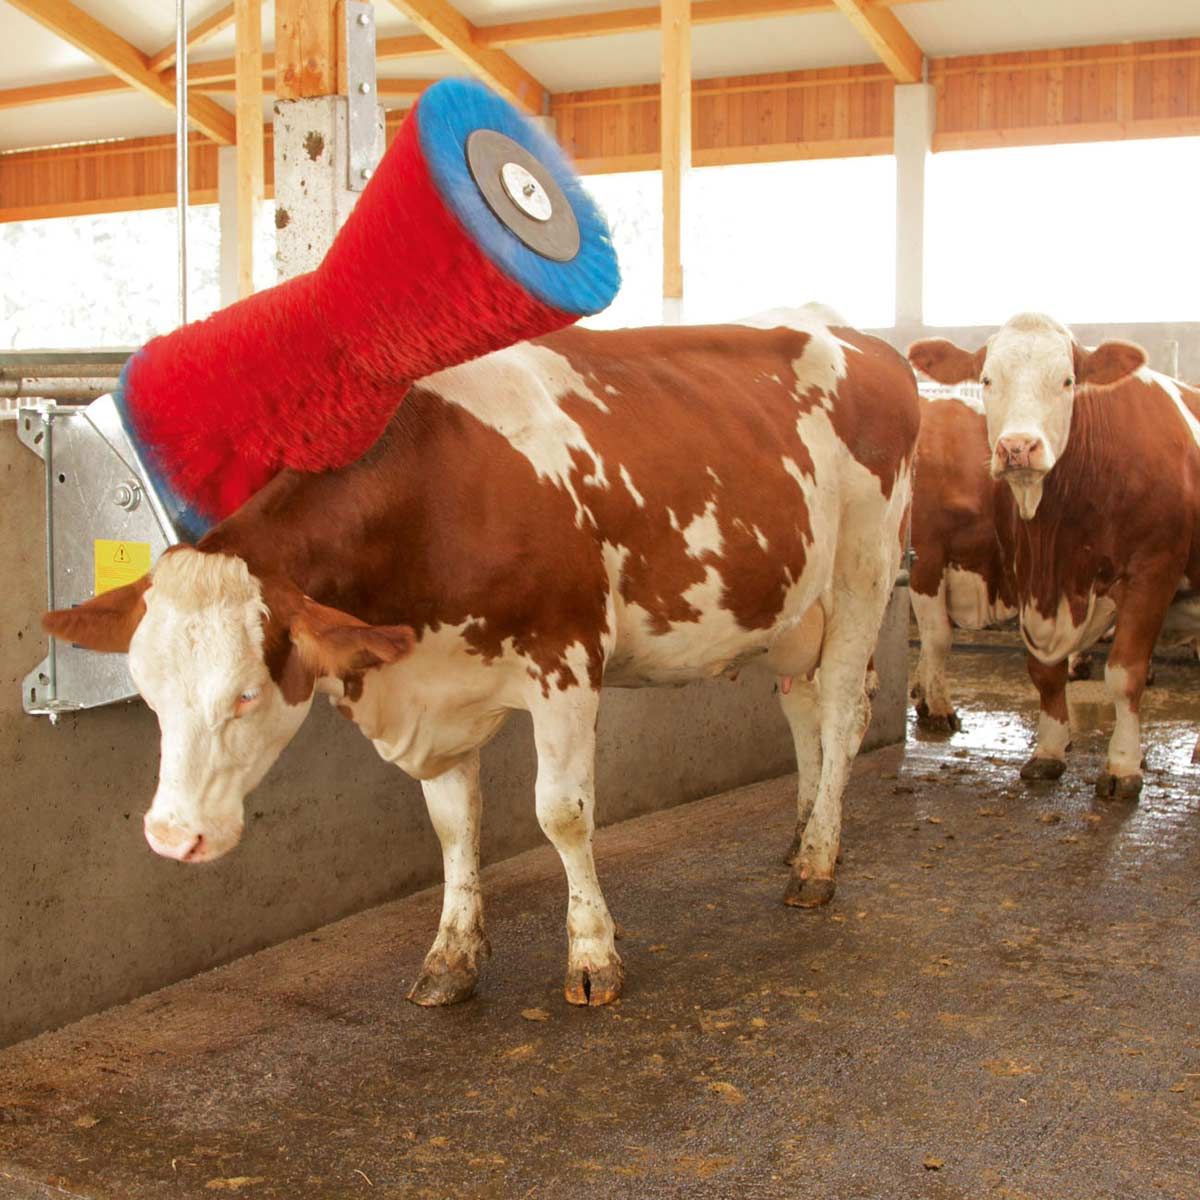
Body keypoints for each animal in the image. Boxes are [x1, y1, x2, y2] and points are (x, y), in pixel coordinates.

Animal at [43, 309, 919, 1007]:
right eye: (149, 694)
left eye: (247, 696)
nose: (172, 836)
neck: (438, 492)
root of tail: (861, 337)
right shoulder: (433, 685)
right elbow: (451, 823)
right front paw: (451, 956)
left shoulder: (566, 660)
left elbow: (561, 814)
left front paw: (592, 957)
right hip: (793, 606)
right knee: (801, 705)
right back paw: (803, 832)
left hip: (865, 571)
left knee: (841, 711)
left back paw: (817, 866)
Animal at [909, 312, 1200, 799]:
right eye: (987, 379)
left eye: (1068, 381)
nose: (1017, 447)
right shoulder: (1016, 573)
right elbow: (1040, 670)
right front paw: (1048, 750)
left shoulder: (1152, 571)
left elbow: (1125, 673)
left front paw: (1123, 765)